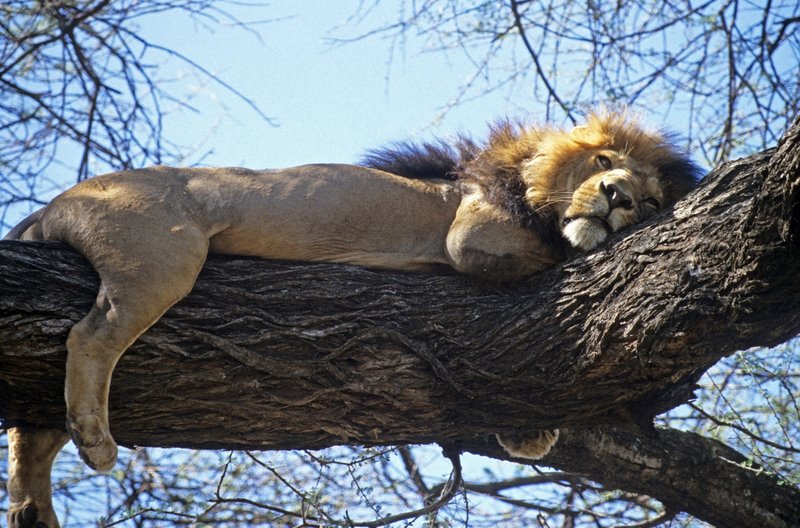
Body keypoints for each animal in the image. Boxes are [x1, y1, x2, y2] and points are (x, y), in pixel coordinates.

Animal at [4, 110, 699, 528]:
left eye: (652, 199)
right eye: (603, 162)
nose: (617, 196)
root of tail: (52, 204)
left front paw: (531, 433)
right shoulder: (470, 234)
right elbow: (549, 249)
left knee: (34, 430)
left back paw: (33, 508)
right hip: (165, 253)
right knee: (90, 334)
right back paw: (95, 440)